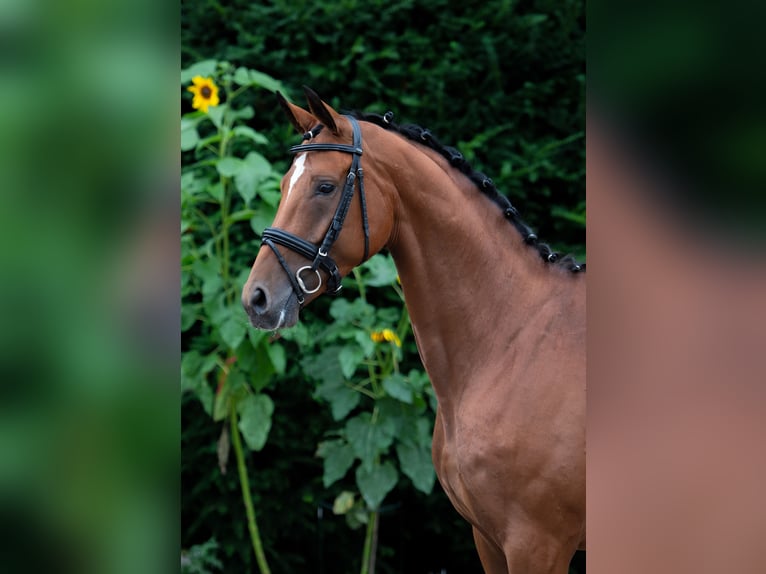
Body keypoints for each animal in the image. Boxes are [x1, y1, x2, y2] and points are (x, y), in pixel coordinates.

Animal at [243, 88, 584, 572]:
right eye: (284, 183)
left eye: (325, 186)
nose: (256, 299)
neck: (512, 342)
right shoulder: (489, 540)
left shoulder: (537, 545)